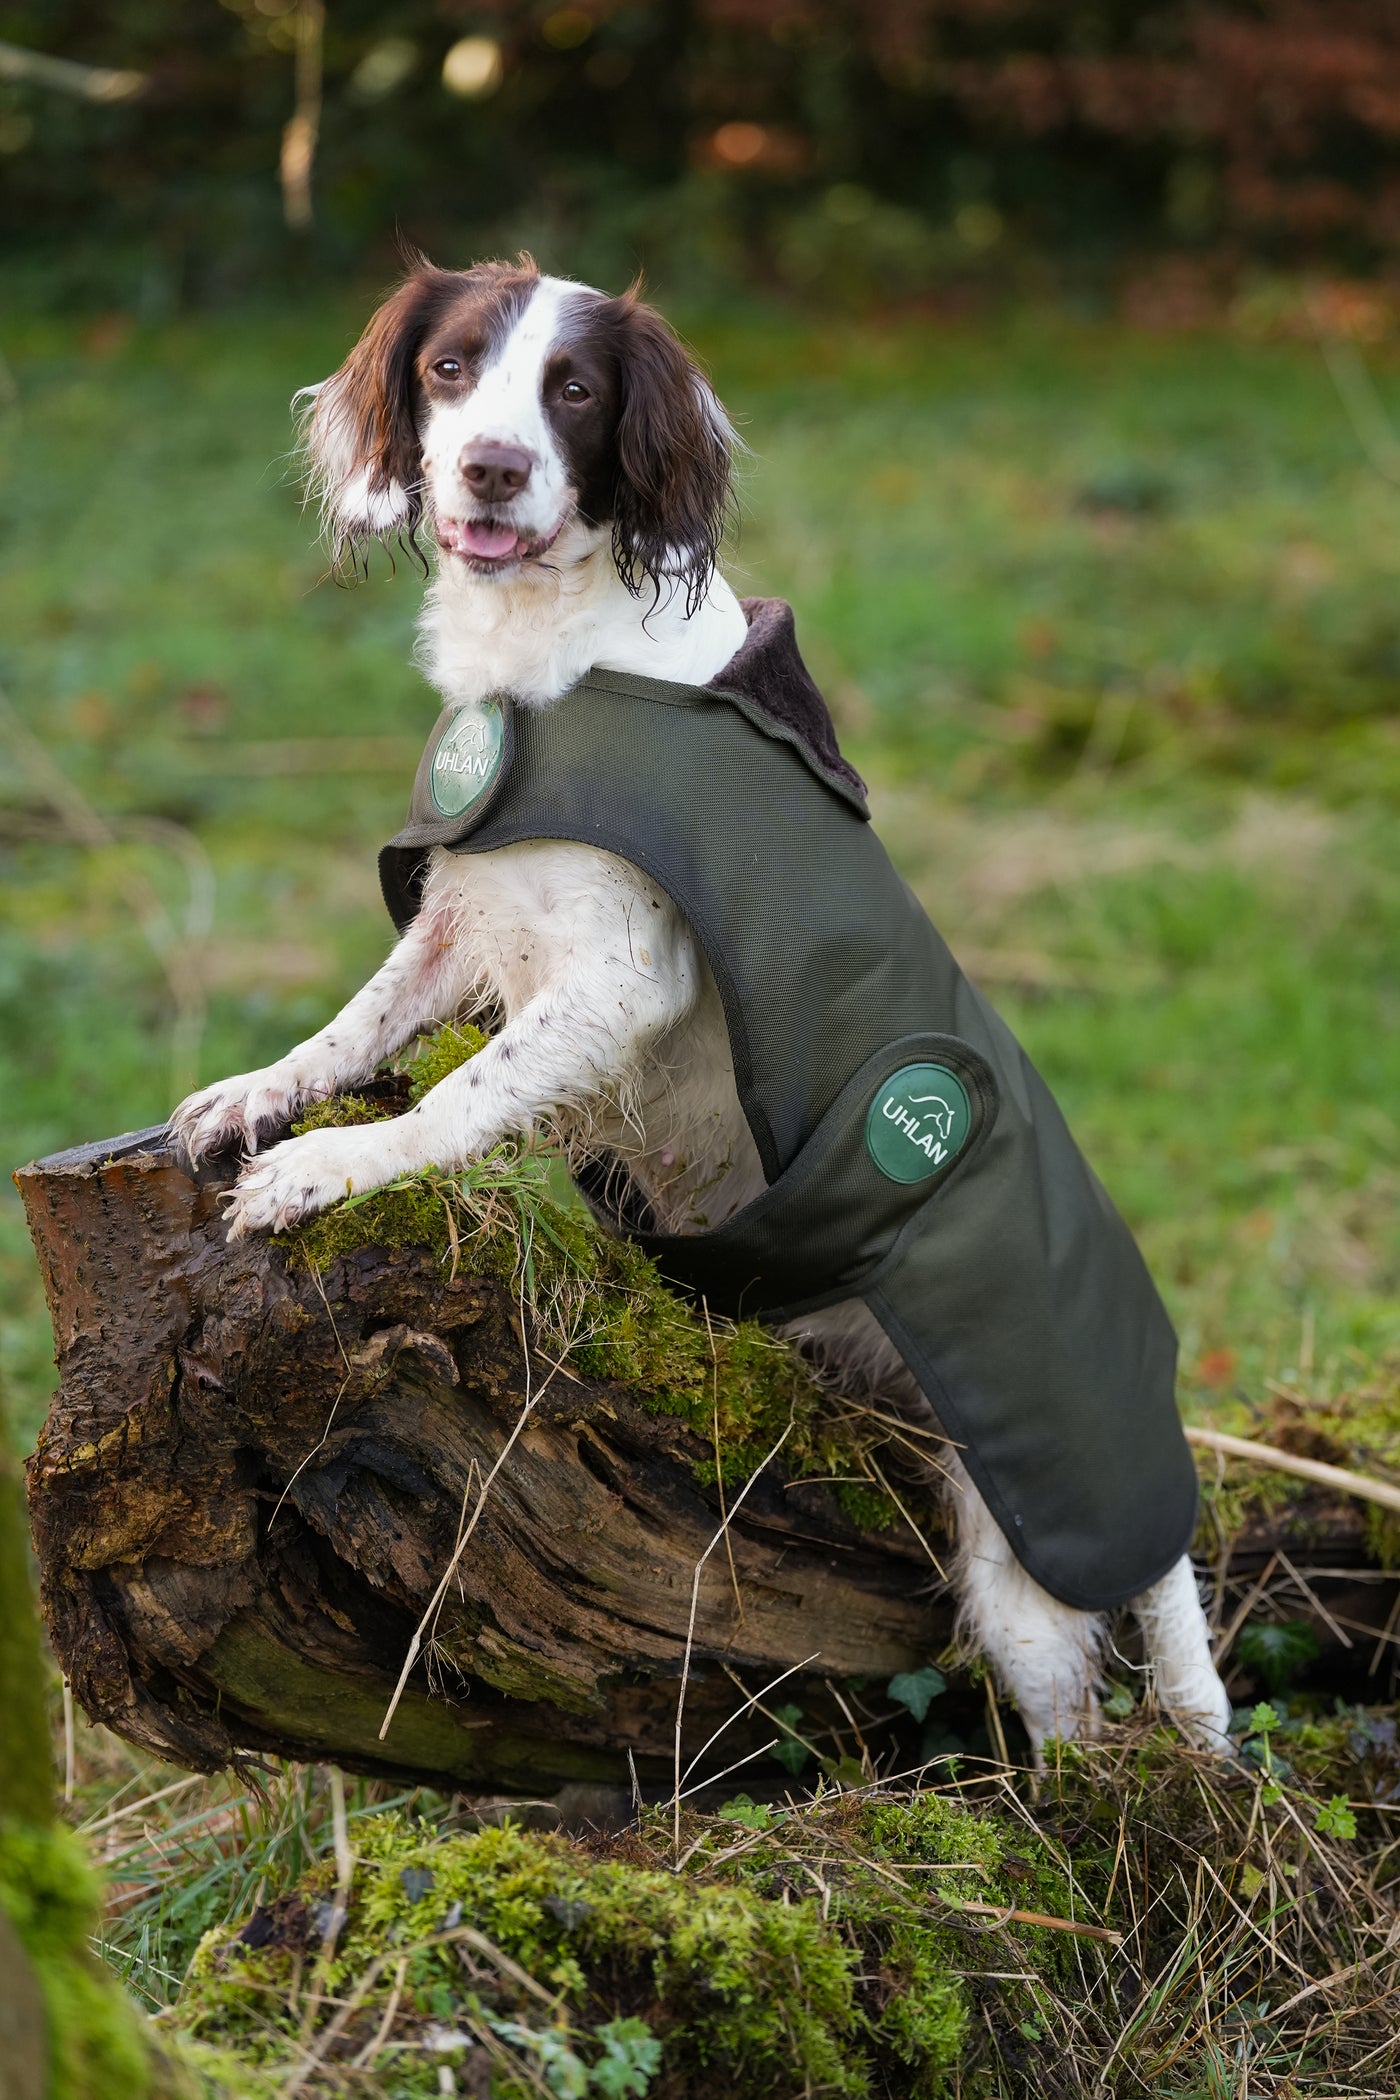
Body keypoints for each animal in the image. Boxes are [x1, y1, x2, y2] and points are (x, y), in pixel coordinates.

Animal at [170, 254, 1234, 1755]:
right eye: (450, 369)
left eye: (575, 389)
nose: (493, 469)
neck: (558, 665)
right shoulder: (461, 914)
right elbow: (356, 1024)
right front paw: (260, 1098)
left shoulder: (619, 980)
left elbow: (455, 1100)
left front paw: (330, 1169)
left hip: (1028, 1560)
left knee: (1095, 1755)